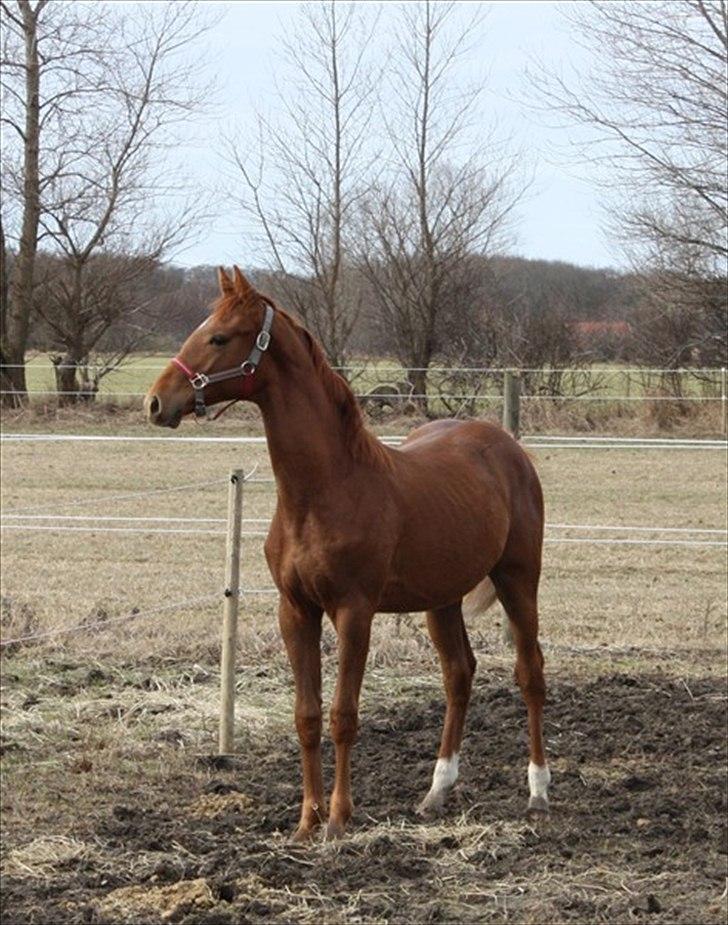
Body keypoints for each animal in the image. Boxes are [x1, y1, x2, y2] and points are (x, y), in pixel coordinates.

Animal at [145, 266, 548, 836]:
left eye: (220, 337)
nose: (157, 402)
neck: (326, 490)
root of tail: (507, 446)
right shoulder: (296, 611)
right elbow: (307, 716)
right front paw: (306, 821)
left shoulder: (354, 612)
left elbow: (343, 715)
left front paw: (338, 820)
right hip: (441, 598)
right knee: (459, 674)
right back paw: (436, 792)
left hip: (519, 578)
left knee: (530, 672)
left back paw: (538, 792)